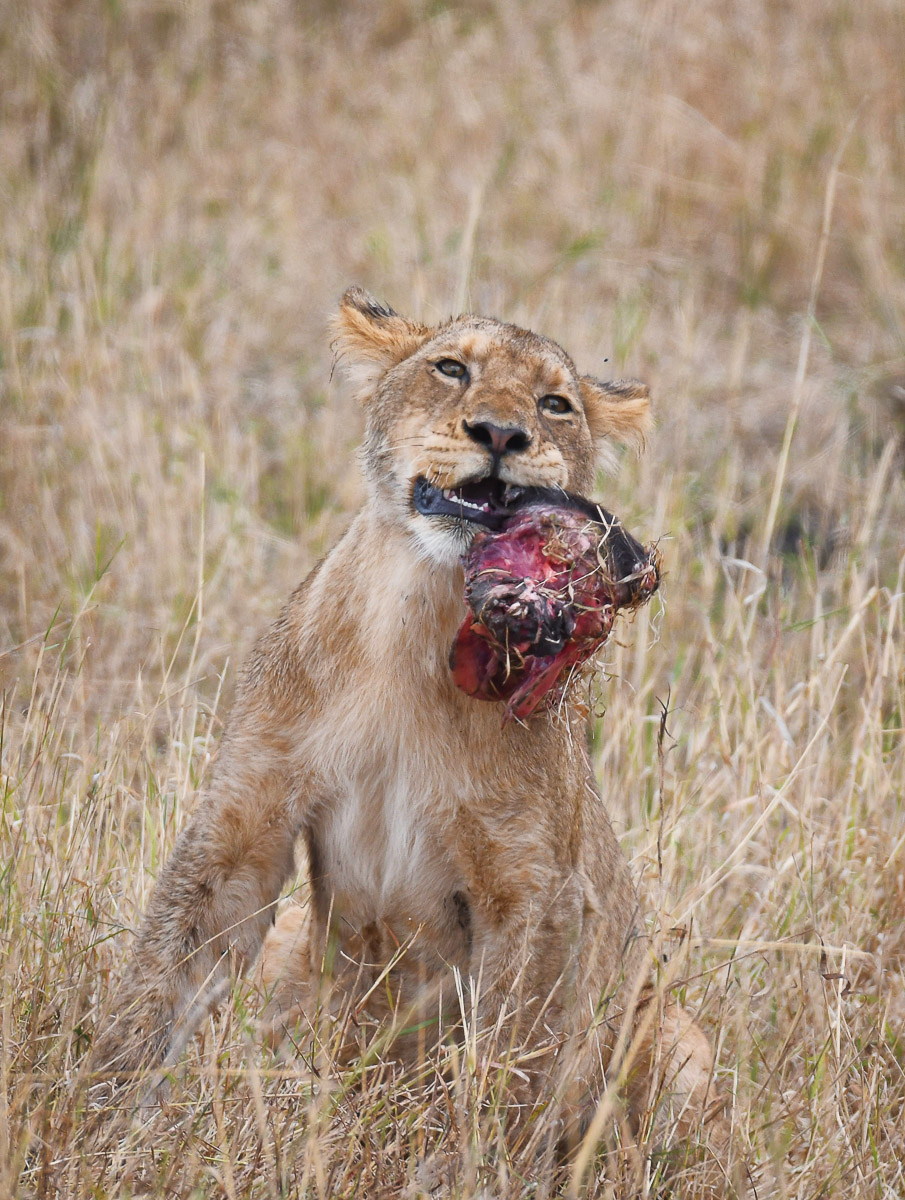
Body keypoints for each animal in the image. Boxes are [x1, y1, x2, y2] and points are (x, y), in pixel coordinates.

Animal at [93, 288, 728, 1170]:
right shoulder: (245, 821)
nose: (499, 434)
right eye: (450, 368)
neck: (411, 624)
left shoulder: (534, 887)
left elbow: (510, 1056)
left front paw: (477, 1167)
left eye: (554, 404)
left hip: (677, 1042)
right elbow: (161, 977)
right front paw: (92, 1125)